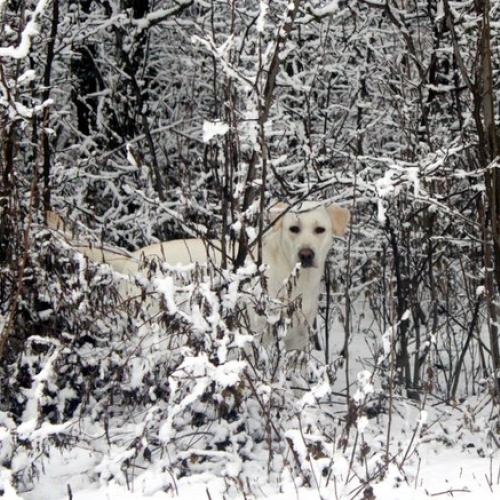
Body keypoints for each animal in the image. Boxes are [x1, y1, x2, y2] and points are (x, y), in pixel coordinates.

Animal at [48, 200, 350, 352]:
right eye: (294, 229)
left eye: (320, 230)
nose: (306, 255)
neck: (293, 277)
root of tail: (132, 257)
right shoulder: (258, 337)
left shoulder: (297, 340)